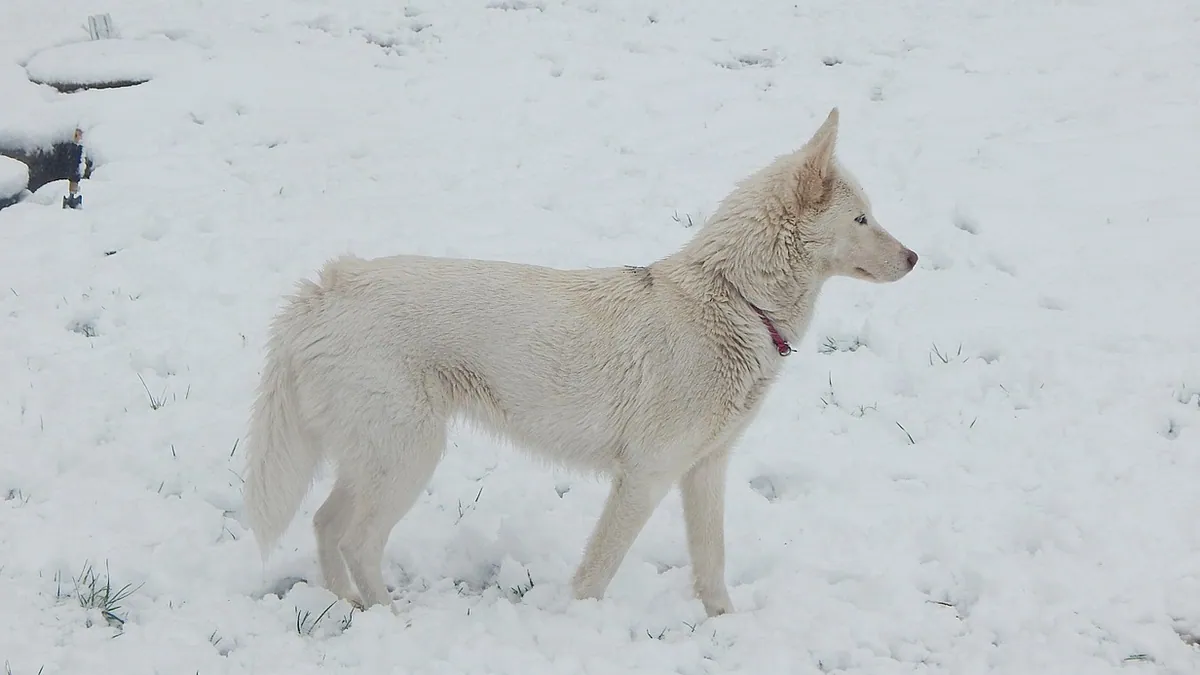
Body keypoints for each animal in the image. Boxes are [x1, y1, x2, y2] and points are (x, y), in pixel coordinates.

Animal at [242, 108, 918, 617]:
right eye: (862, 218)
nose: (914, 258)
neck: (736, 299)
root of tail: (325, 288)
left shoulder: (705, 470)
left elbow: (712, 564)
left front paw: (724, 626)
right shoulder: (645, 476)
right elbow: (598, 571)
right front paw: (584, 624)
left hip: (374, 458)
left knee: (325, 525)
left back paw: (347, 607)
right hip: (408, 457)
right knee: (357, 540)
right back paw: (389, 616)